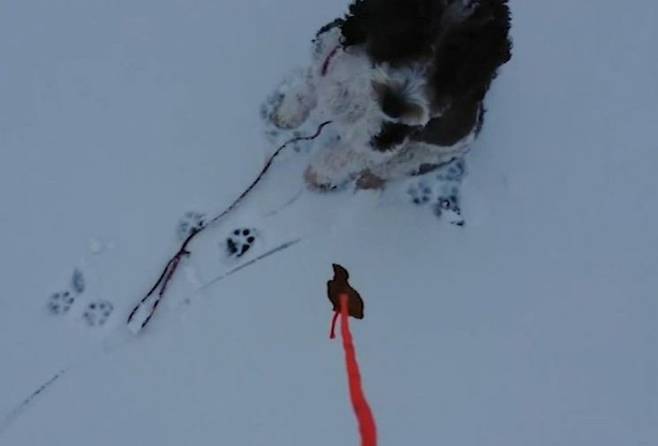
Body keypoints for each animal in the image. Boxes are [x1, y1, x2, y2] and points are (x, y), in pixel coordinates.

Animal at [264, 0, 510, 190]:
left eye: (454, 69)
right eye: (408, 34)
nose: (392, 106)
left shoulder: (383, 139)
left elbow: (346, 156)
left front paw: (319, 175)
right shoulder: (326, 61)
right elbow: (307, 88)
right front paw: (288, 115)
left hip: (417, 157)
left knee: (385, 169)